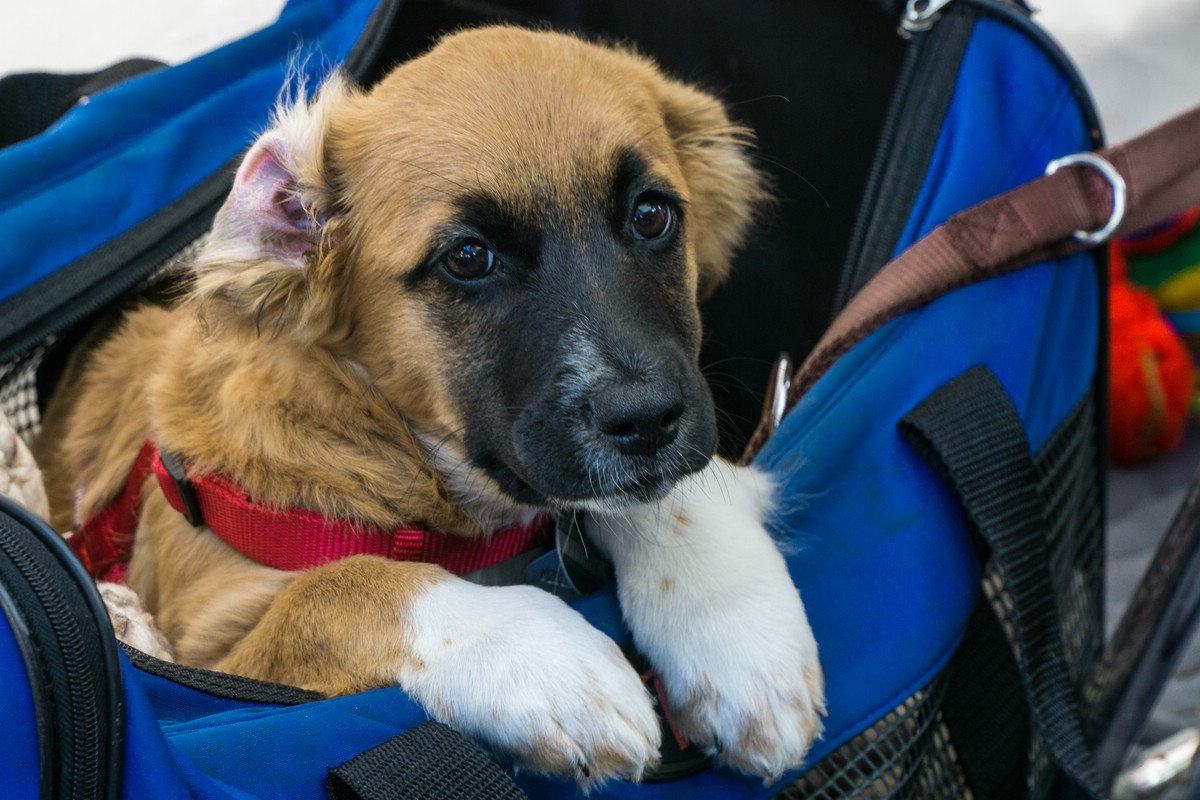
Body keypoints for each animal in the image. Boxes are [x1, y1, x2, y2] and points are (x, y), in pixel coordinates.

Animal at [56, 23, 825, 786]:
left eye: (651, 214)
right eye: (468, 257)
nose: (647, 420)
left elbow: (666, 497)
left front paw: (740, 639)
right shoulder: (213, 660)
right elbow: (340, 587)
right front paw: (548, 663)